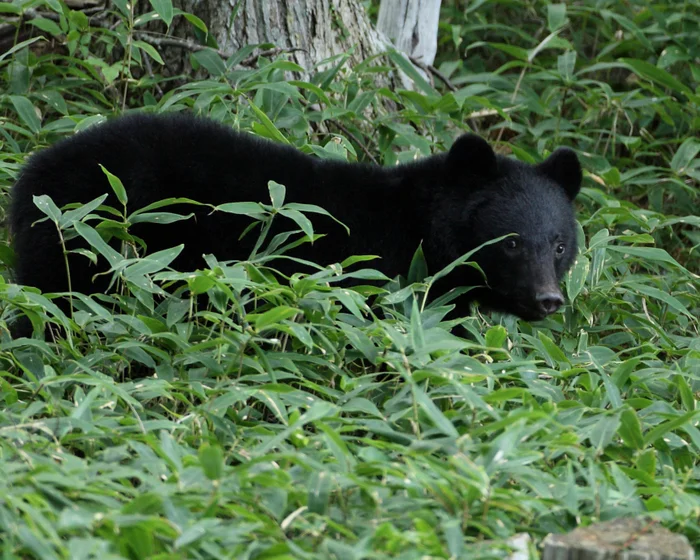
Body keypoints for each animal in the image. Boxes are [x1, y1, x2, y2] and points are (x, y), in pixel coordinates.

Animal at [9, 112, 582, 333]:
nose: (548, 299)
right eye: (510, 243)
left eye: (559, 246)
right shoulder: (384, 276)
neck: (420, 230)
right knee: (56, 300)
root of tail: (32, 173)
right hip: (88, 235)